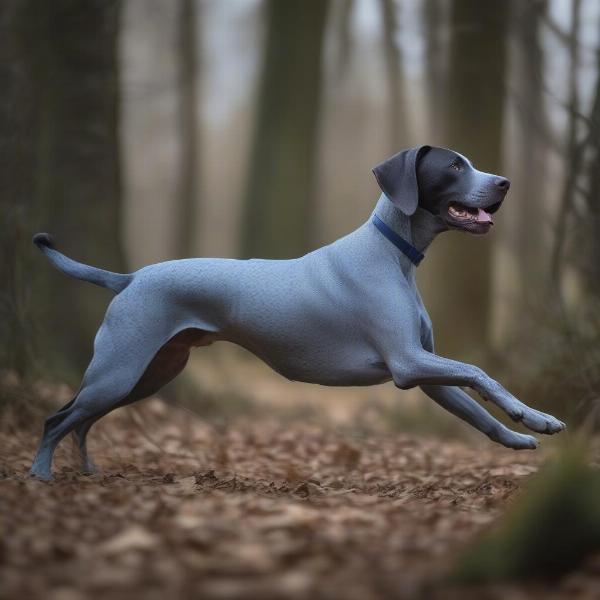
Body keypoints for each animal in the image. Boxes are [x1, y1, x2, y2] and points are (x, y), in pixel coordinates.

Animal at [28, 144, 564, 478]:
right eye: (454, 167)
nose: (505, 182)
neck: (393, 253)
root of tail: (131, 277)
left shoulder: (427, 374)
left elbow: (476, 410)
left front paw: (520, 436)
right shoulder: (409, 364)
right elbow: (479, 372)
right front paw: (532, 413)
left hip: (148, 373)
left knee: (82, 421)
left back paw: (88, 470)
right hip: (119, 369)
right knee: (57, 419)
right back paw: (41, 475)